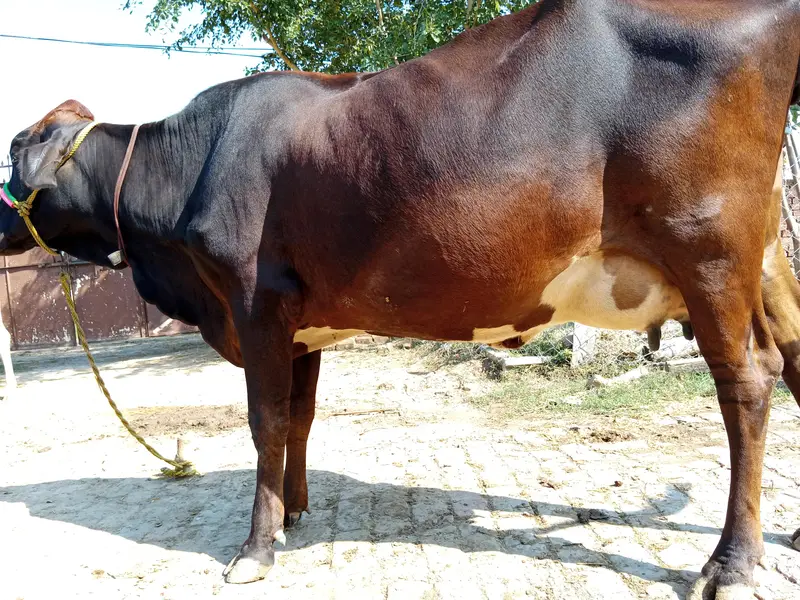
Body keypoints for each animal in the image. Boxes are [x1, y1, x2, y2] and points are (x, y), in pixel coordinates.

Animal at [1, 0, 799, 597]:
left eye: (13, 148)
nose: (0, 217)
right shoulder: (301, 325)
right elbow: (299, 420)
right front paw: (294, 512)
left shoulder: (254, 302)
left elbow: (265, 422)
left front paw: (256, 547)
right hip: (762, 255)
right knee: (791, 357)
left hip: (709, 250)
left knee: (747, 381)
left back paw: (732, 564)